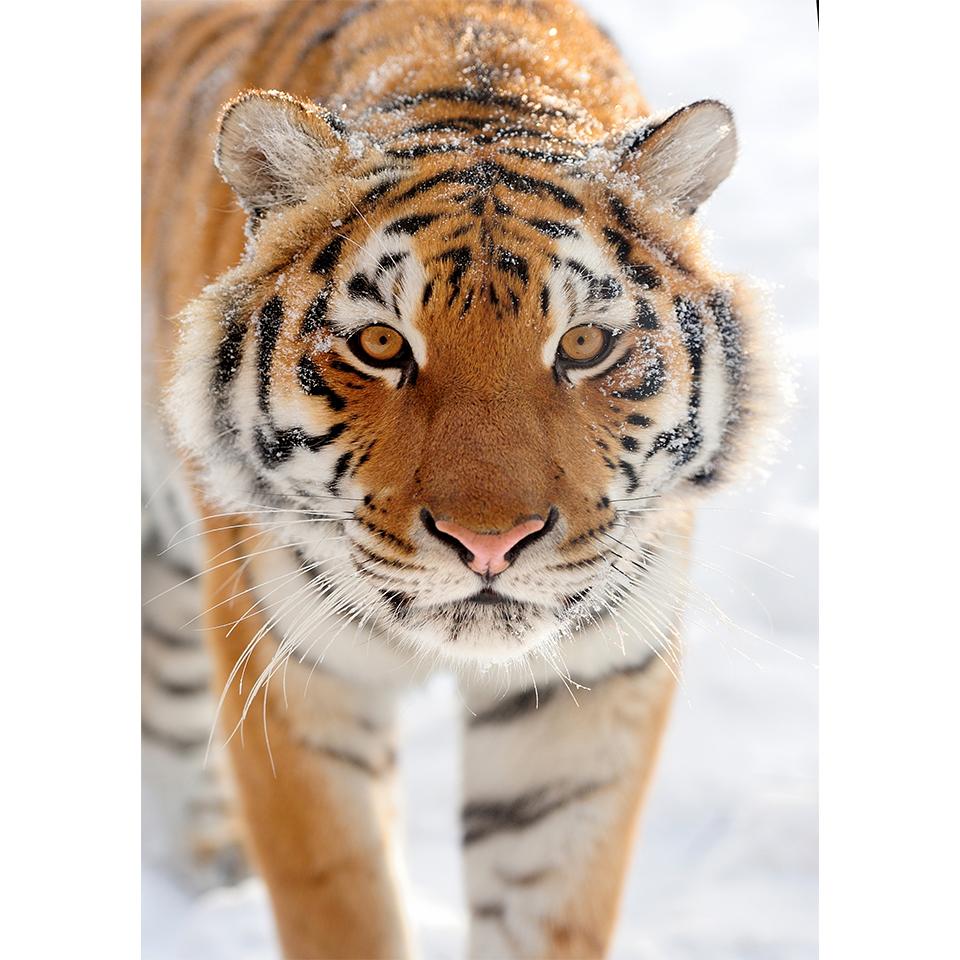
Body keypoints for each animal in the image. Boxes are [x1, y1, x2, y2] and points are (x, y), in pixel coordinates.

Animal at [141, 0, 778, 956]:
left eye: (584, 344)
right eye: (380, 344)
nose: (490, 542)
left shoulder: (587, 691)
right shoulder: (294, 671)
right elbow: (343, 903)